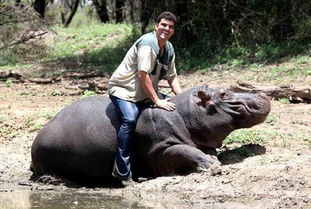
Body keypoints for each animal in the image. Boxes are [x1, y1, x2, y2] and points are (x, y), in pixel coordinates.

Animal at [31, 85, 270, 182]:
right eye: (223, 94)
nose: (263, 95)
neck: (186, 114)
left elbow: (203, 150)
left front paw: (214, 159)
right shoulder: (159, 150)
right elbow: (185, 151)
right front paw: (212, 166)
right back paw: (53, 180)